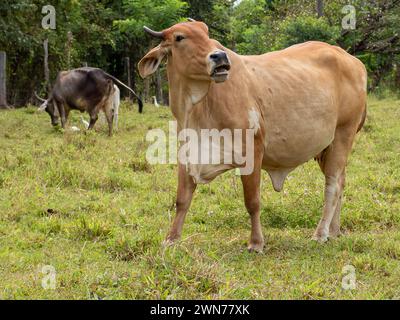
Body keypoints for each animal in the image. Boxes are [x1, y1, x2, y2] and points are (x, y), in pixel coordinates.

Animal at [139, 20, 368, 252]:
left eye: (206, 34)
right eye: (179, 37)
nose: (220, 57)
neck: (197, 107)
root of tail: (352, 60)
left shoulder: (253, 151)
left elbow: (252, 202)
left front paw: (256, 242)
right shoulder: (187, 154)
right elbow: (182, 200)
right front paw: (171, 239)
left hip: (342, 135)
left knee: (332, 185)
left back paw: (321, 233)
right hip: (326, 148)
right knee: (341, 182)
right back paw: (334, 231)